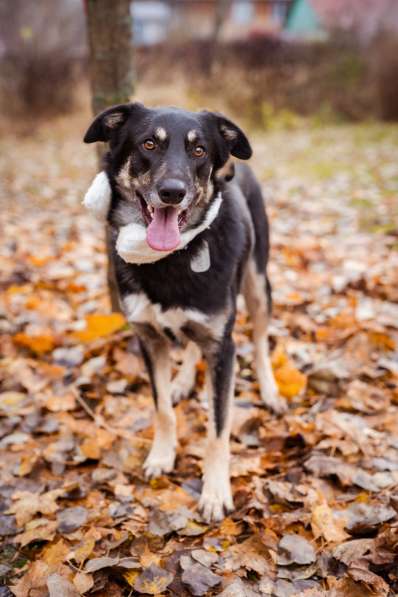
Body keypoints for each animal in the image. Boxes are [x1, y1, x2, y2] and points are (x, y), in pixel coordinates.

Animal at [83, 103, 286, 520]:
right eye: (148, 143)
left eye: (198, 150)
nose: (172, 193)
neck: (170, 258)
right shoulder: (148, 338)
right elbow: (161, 408)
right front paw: (162, 455)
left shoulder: (223, 347)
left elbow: (218, 428)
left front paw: (215, 491)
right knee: (193, 344)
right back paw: (183, 380)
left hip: (258, 283)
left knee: (259, 341)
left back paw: (270, 388)